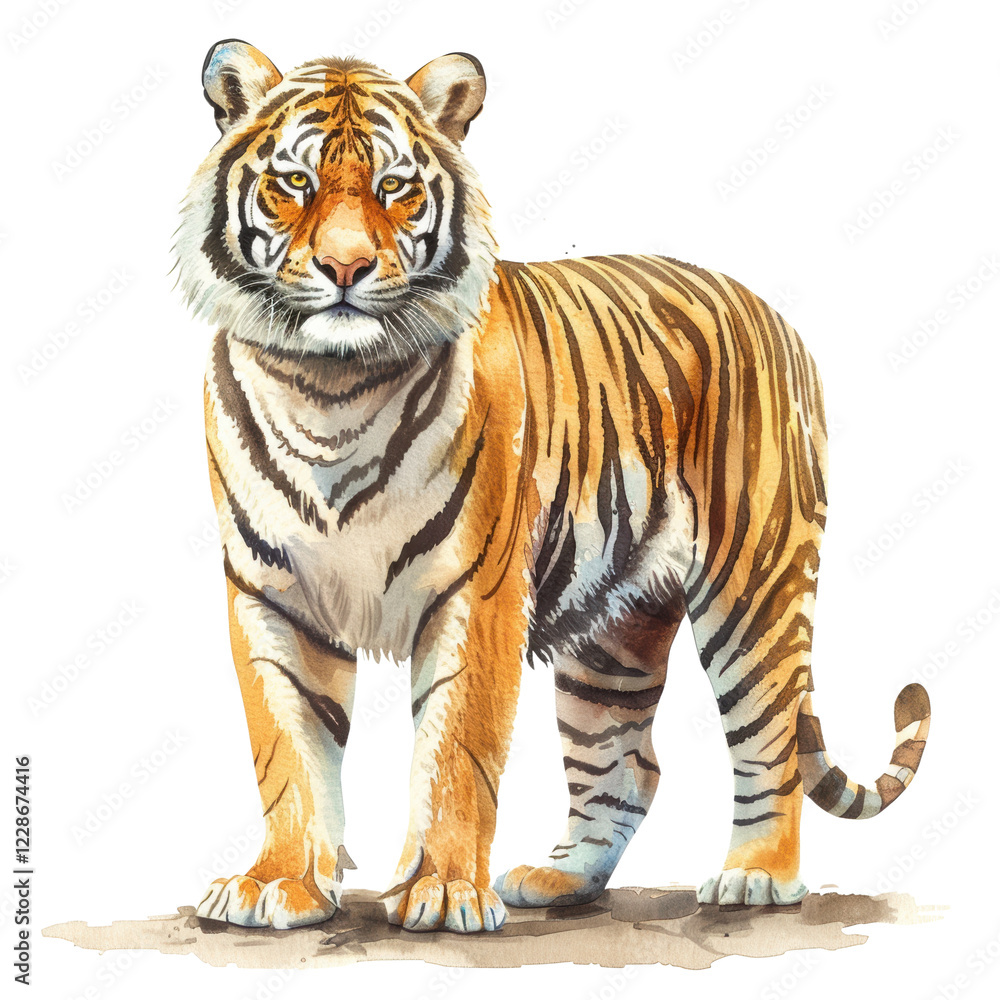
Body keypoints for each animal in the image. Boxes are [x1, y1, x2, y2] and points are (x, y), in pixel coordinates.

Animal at [176, 40, 932, 934]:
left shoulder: (476, 589)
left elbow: (456, 746)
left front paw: (440, 890)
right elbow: (287, 747)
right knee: (631, 763)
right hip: (612, 633)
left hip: (754, 584)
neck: (330, 385)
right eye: (293, 182)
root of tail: (776, 320)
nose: (346, 266)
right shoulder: (271, 591)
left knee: (768, 736)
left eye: (394, 187)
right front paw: (279, 885)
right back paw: (561, 877)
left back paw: (756, 876)